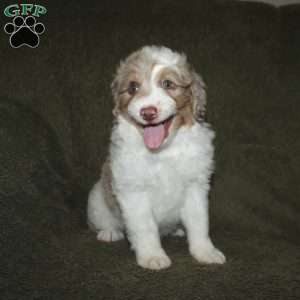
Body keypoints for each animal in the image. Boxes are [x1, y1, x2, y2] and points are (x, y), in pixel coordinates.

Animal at [86, 45, 225, 270]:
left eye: (168, 84)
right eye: (132, 87)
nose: (148, 112)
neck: (163, 152)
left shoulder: (195, 186)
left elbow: (199, 223)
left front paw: (206, 252)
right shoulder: (133, 191)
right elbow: (145, 226)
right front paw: (152, 256)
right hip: (97, 200)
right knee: (103, 221)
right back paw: (110, 232)